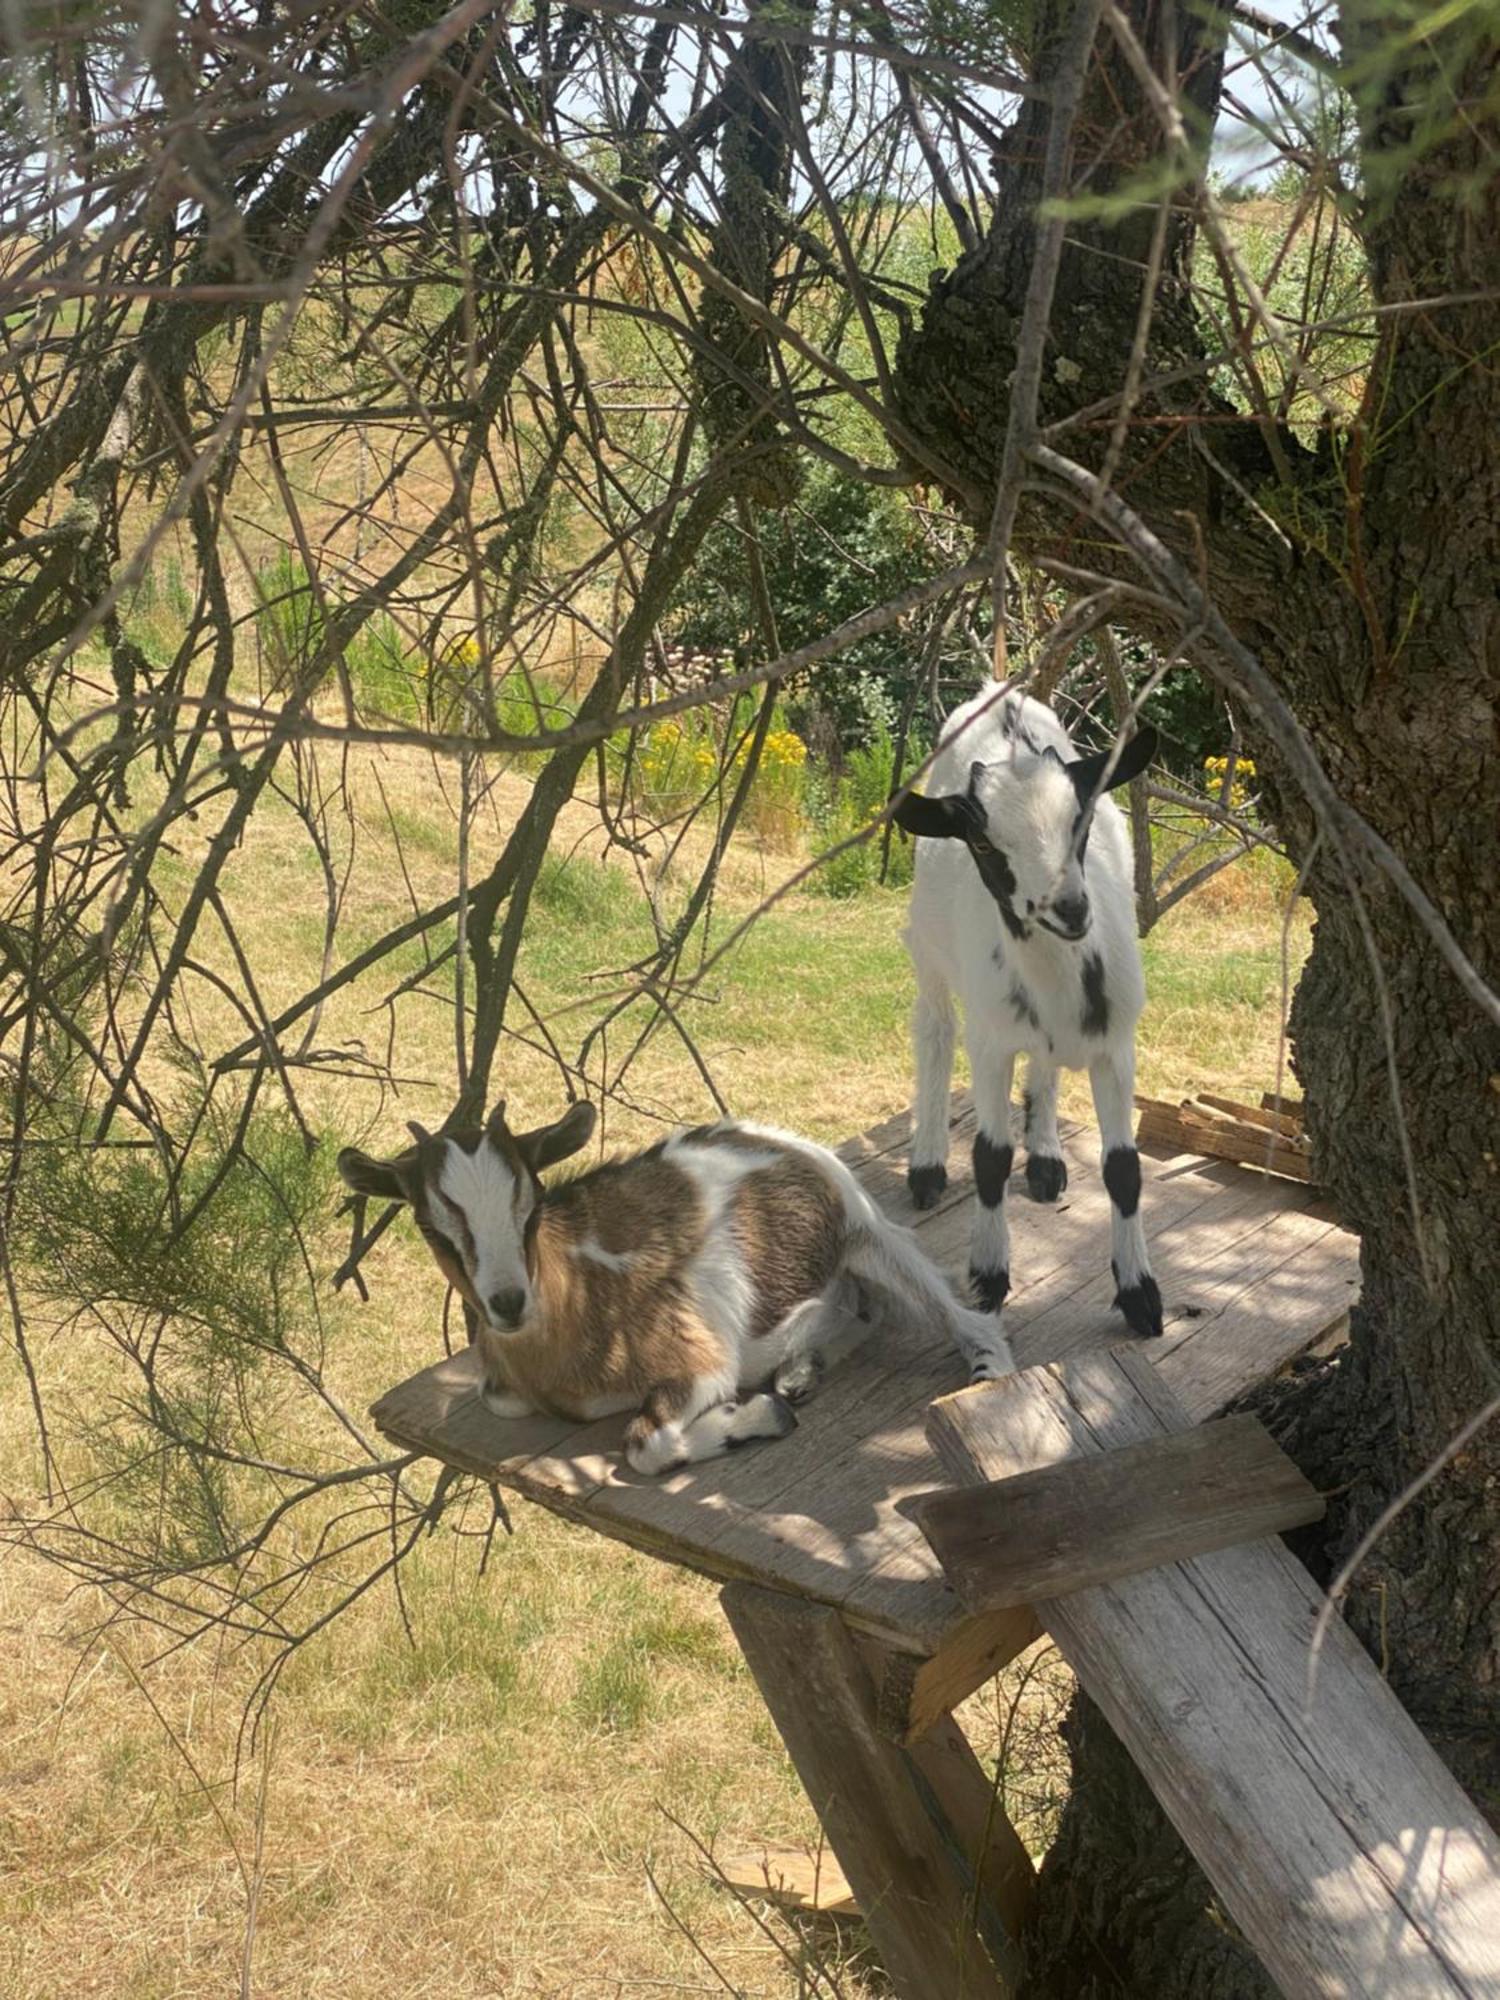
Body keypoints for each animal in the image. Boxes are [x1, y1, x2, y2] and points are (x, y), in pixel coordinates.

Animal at [340, 1096, 1016, 1472]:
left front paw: (757, 1416)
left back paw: (988, 1373)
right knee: (862, 1310)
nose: (508, 1304)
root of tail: (757, 1134)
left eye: (530, 1207)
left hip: (866, 1232)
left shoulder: (699, 1364)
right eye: (430, 1227)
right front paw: (777, 1396)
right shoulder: (500, 1386)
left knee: (960, 1311)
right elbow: (491, 1395)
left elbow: (645, 1446)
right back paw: (800, 1369)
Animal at [892, 684, 1160, 1344]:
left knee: (1044, 1062)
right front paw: (988, 1279)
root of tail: (998, 692)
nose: (1069, 907)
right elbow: (989, 1159)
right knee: (934, 1030)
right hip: (928, 949)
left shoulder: (1117, 1043)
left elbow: (1124, 1167)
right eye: (984, 844)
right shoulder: (991, 1042)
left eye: (1080, 821)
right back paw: (928, 1164)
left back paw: (1045, 1157)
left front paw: (1141, 1295)